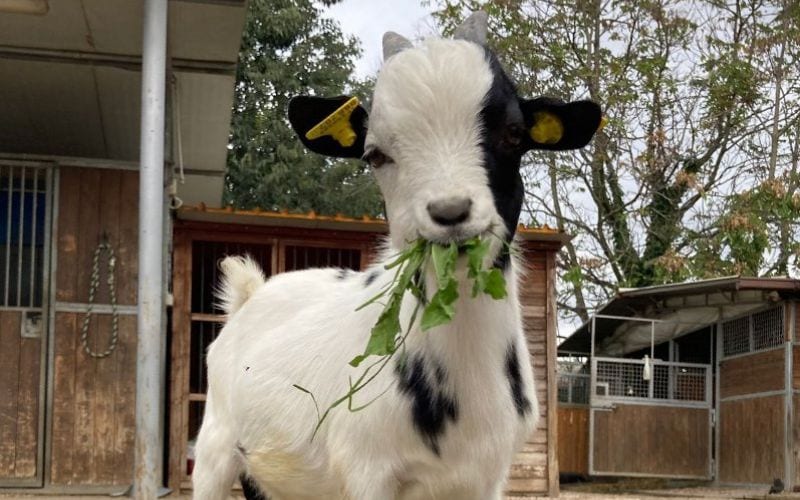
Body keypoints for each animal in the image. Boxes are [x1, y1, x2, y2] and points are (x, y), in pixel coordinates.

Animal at [192, 12, 602, 500]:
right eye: (375, 154)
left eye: (514, 134)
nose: (450, 212)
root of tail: (249, 295)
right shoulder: (367, 469)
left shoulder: (489, 475)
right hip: (216, 444)